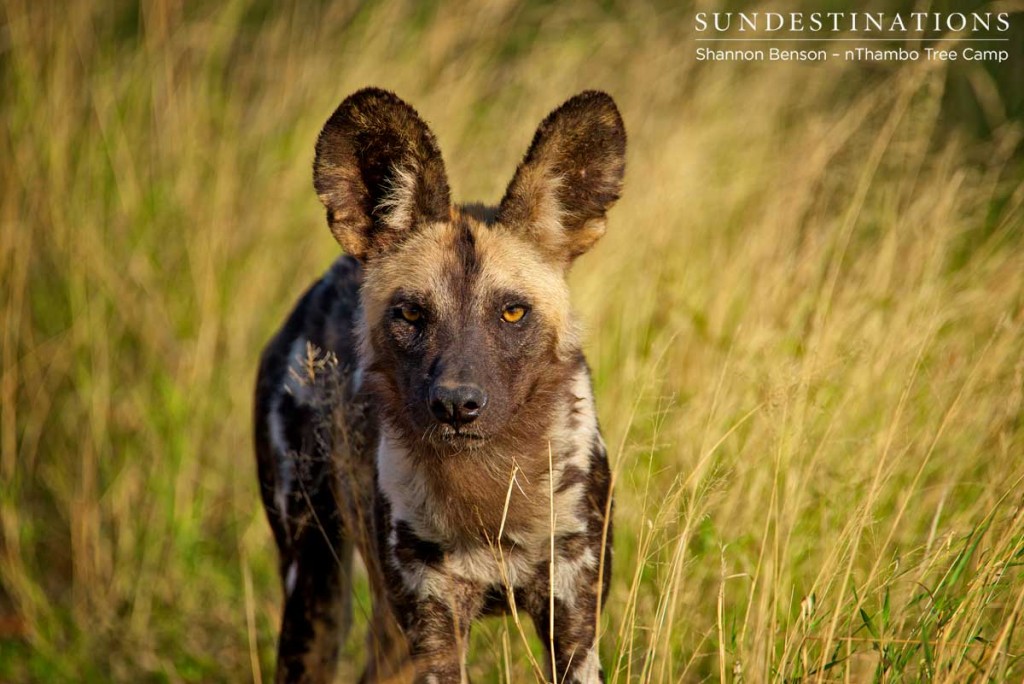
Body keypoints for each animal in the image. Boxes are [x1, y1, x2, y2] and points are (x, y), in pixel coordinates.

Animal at [253, 88, 622, 679]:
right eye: (410, 314)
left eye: (513, 312)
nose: (455, 405)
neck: (488, 496)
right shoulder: (433, 624)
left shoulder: (573, 619)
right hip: (315, 591)